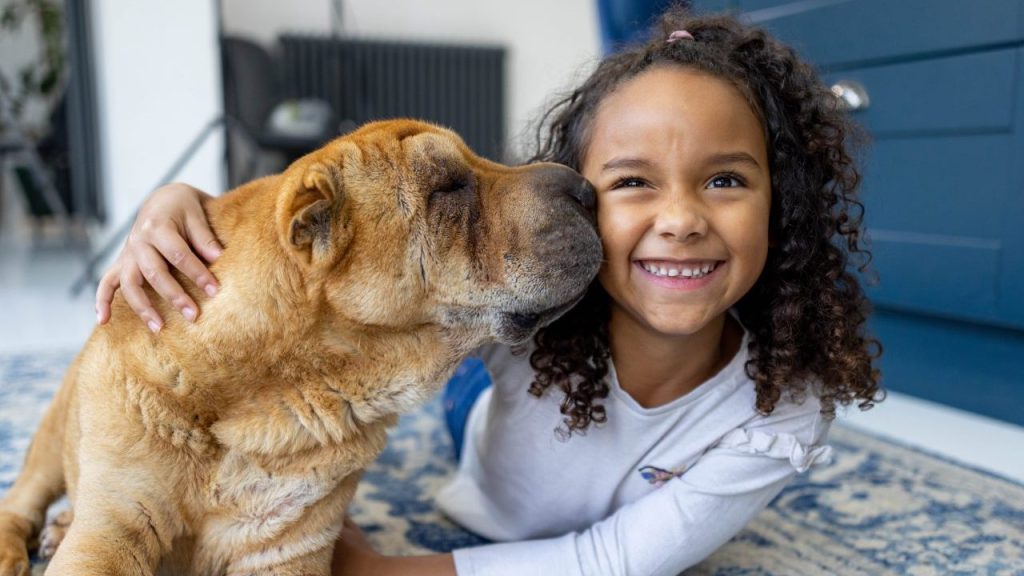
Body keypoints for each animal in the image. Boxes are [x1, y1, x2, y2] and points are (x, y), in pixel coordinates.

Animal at [0, 118, 598, 569]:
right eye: (447, 186)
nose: (587, 190)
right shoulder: (112, 533)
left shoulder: (287, 550)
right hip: (53, 432)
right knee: (21, 499)